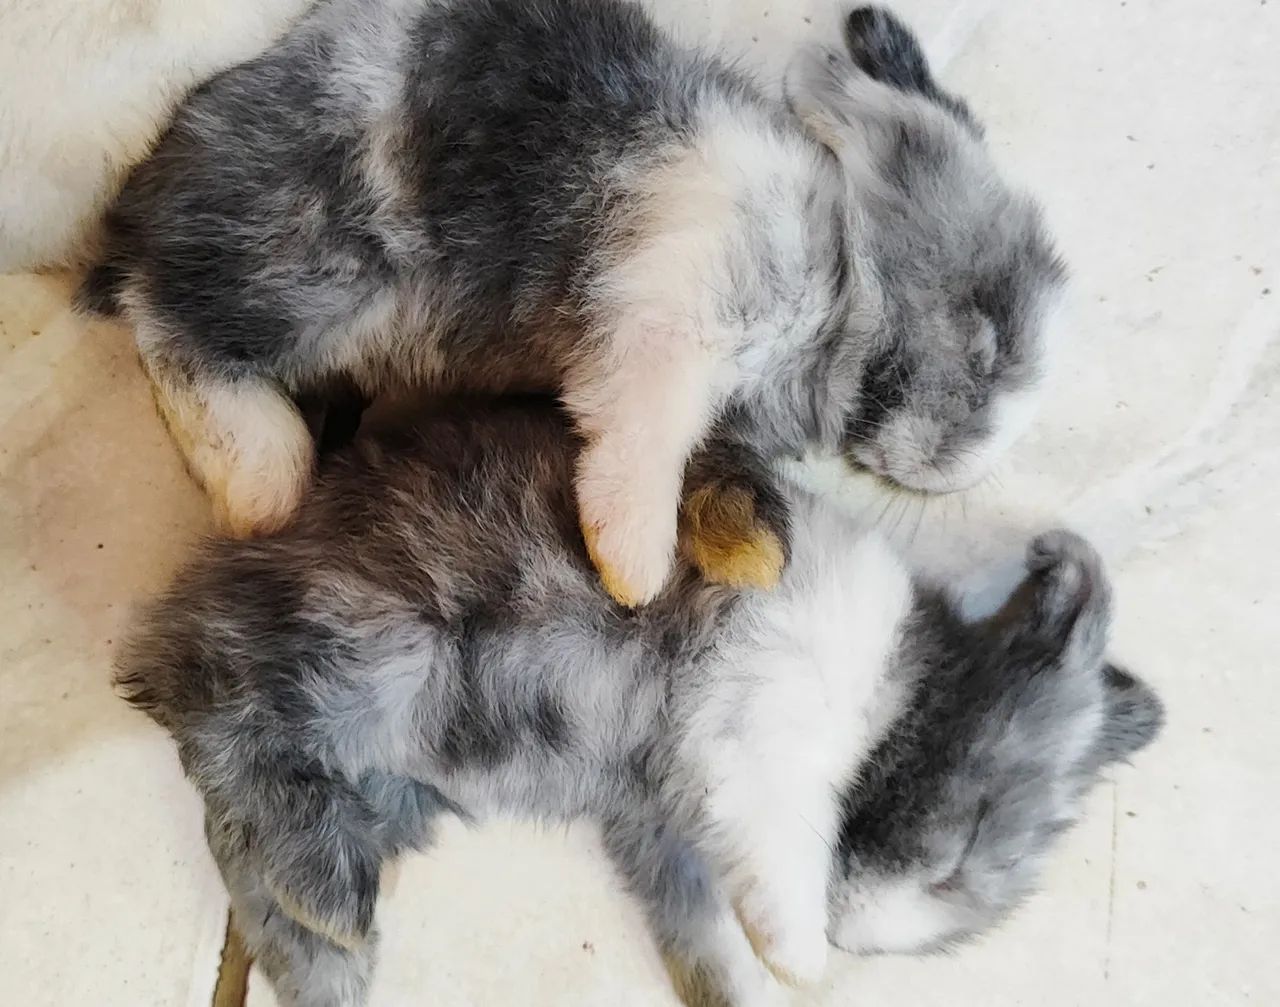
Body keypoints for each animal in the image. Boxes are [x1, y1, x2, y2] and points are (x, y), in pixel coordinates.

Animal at [78, 1, 1066, 607]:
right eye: (987, 341)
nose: (968, 468)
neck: (836, 285)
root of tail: (150, 195)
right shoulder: (671, 315)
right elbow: (644, 442)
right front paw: (633, 565)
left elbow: (715, 475)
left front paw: (749, 555)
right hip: (321, 266)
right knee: (165, 318)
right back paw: (263, 476)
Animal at [115, 399, 1160, 1007]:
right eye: (959, 857)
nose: (854, 936)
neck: (894, 697)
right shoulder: (771, 739)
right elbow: (784, 853)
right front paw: (801, 959)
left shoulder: (661, 825)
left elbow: (700, 928)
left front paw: (738, 990)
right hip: (370, 644)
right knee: (227, 713)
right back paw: (332, 903)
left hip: (386, 783)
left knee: (251, 847)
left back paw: (332, 943)